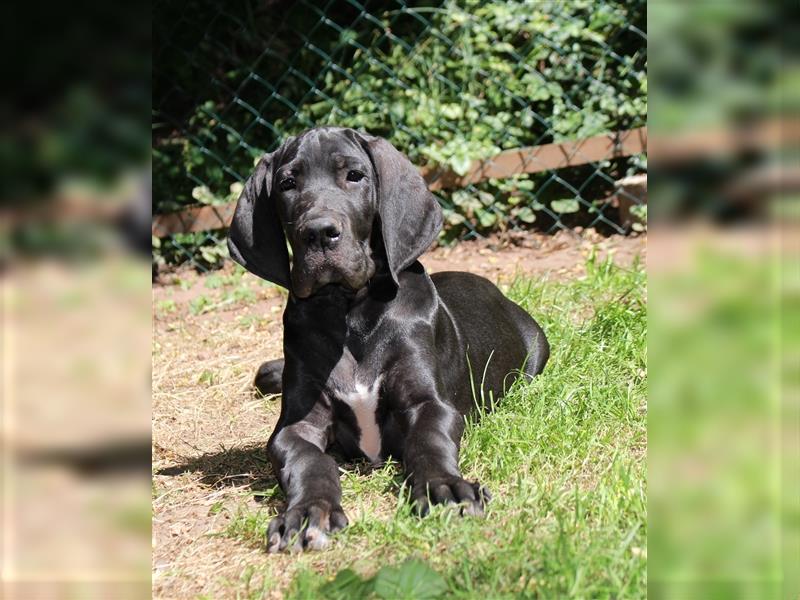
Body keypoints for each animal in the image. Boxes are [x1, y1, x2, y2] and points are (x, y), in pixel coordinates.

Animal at [228, 126, 548, 552]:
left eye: (355, 176)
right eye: (287, 184)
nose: (318, 232)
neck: (349, 313)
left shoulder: (428, 403)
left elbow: (429, 442)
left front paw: (444, 489)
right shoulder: (296, 426)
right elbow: (309, 462)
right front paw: (309, 511)